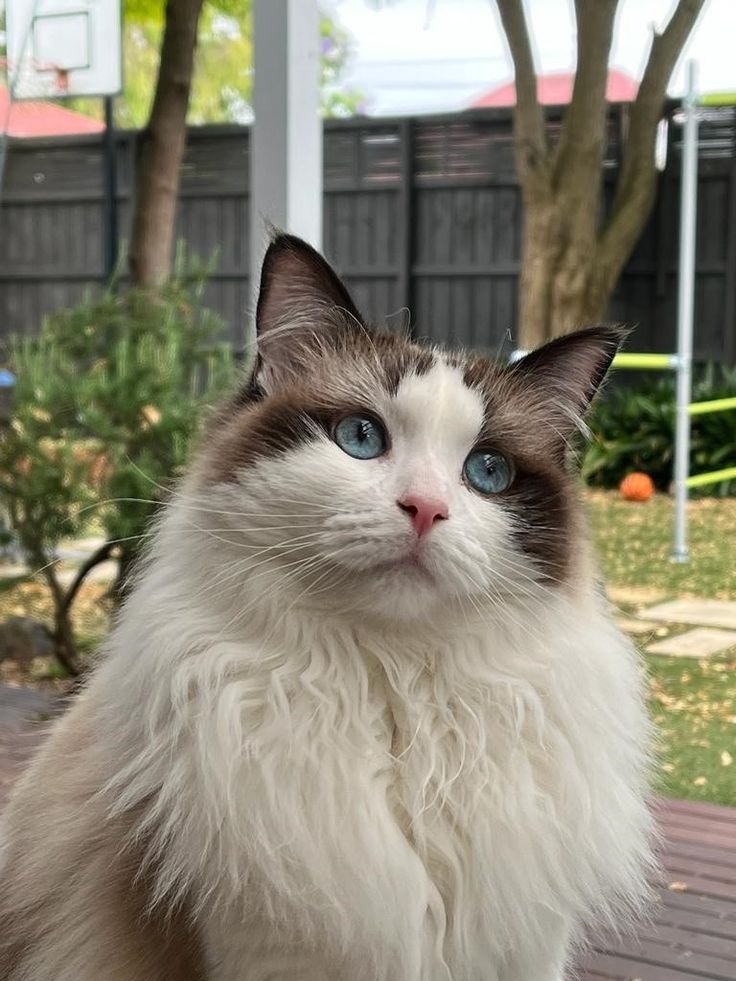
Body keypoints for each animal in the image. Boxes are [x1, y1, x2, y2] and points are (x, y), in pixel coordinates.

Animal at [0, 237, 656, 980]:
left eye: (487, 472)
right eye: (361, 437)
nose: (425, 508)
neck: (399, 699)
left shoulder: (524, 945)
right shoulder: (261, 942)